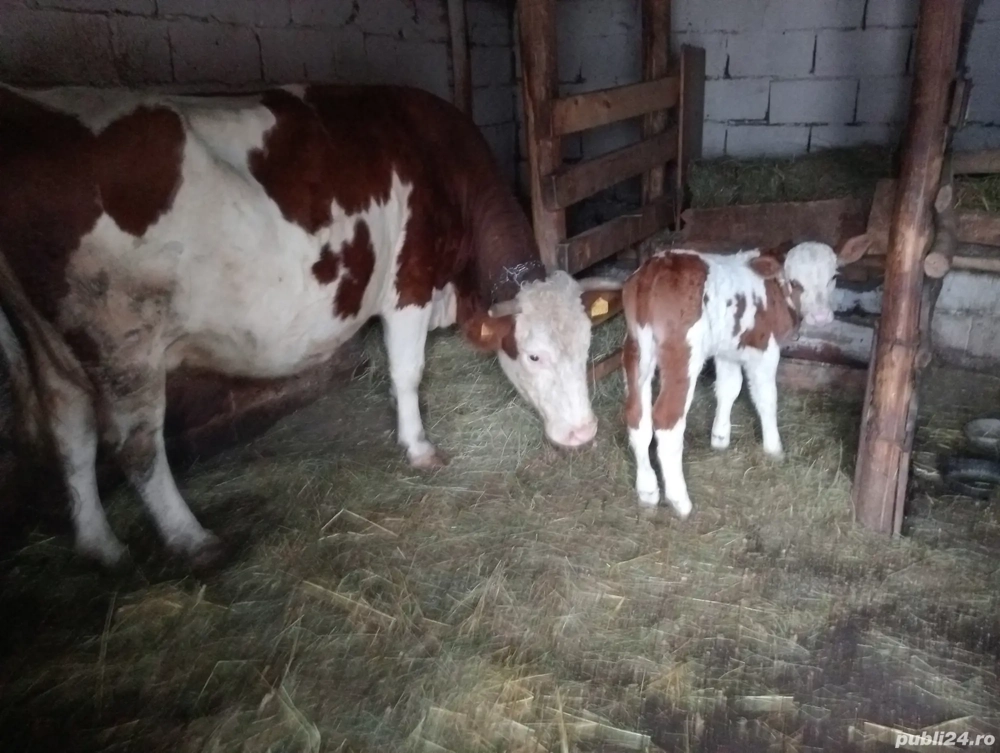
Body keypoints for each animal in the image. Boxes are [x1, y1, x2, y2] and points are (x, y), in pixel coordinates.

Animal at [0, 83, 622, 569]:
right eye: (534, 355)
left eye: (588, 346)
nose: (582, 433)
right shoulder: (409, 286)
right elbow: (407, 372)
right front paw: (419, 447)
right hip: (121, 343)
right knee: (137, 446)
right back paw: (192, 539)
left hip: (54, 348)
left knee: (71, 433)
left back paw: (99, 546)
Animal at [620, 237, 868, 517]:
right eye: (795, 282)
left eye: (833, 276)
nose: (821, 317)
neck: (774, 287)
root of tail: (654, 269)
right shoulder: (765, 348)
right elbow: (766, 398)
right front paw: (774, 448)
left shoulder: (728, 348)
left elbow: (729, 388)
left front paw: (720, 438)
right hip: (682, 354)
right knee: (666, 419)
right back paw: (679, 500)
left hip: (636, 349)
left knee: (636, 416)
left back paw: (647, 490)